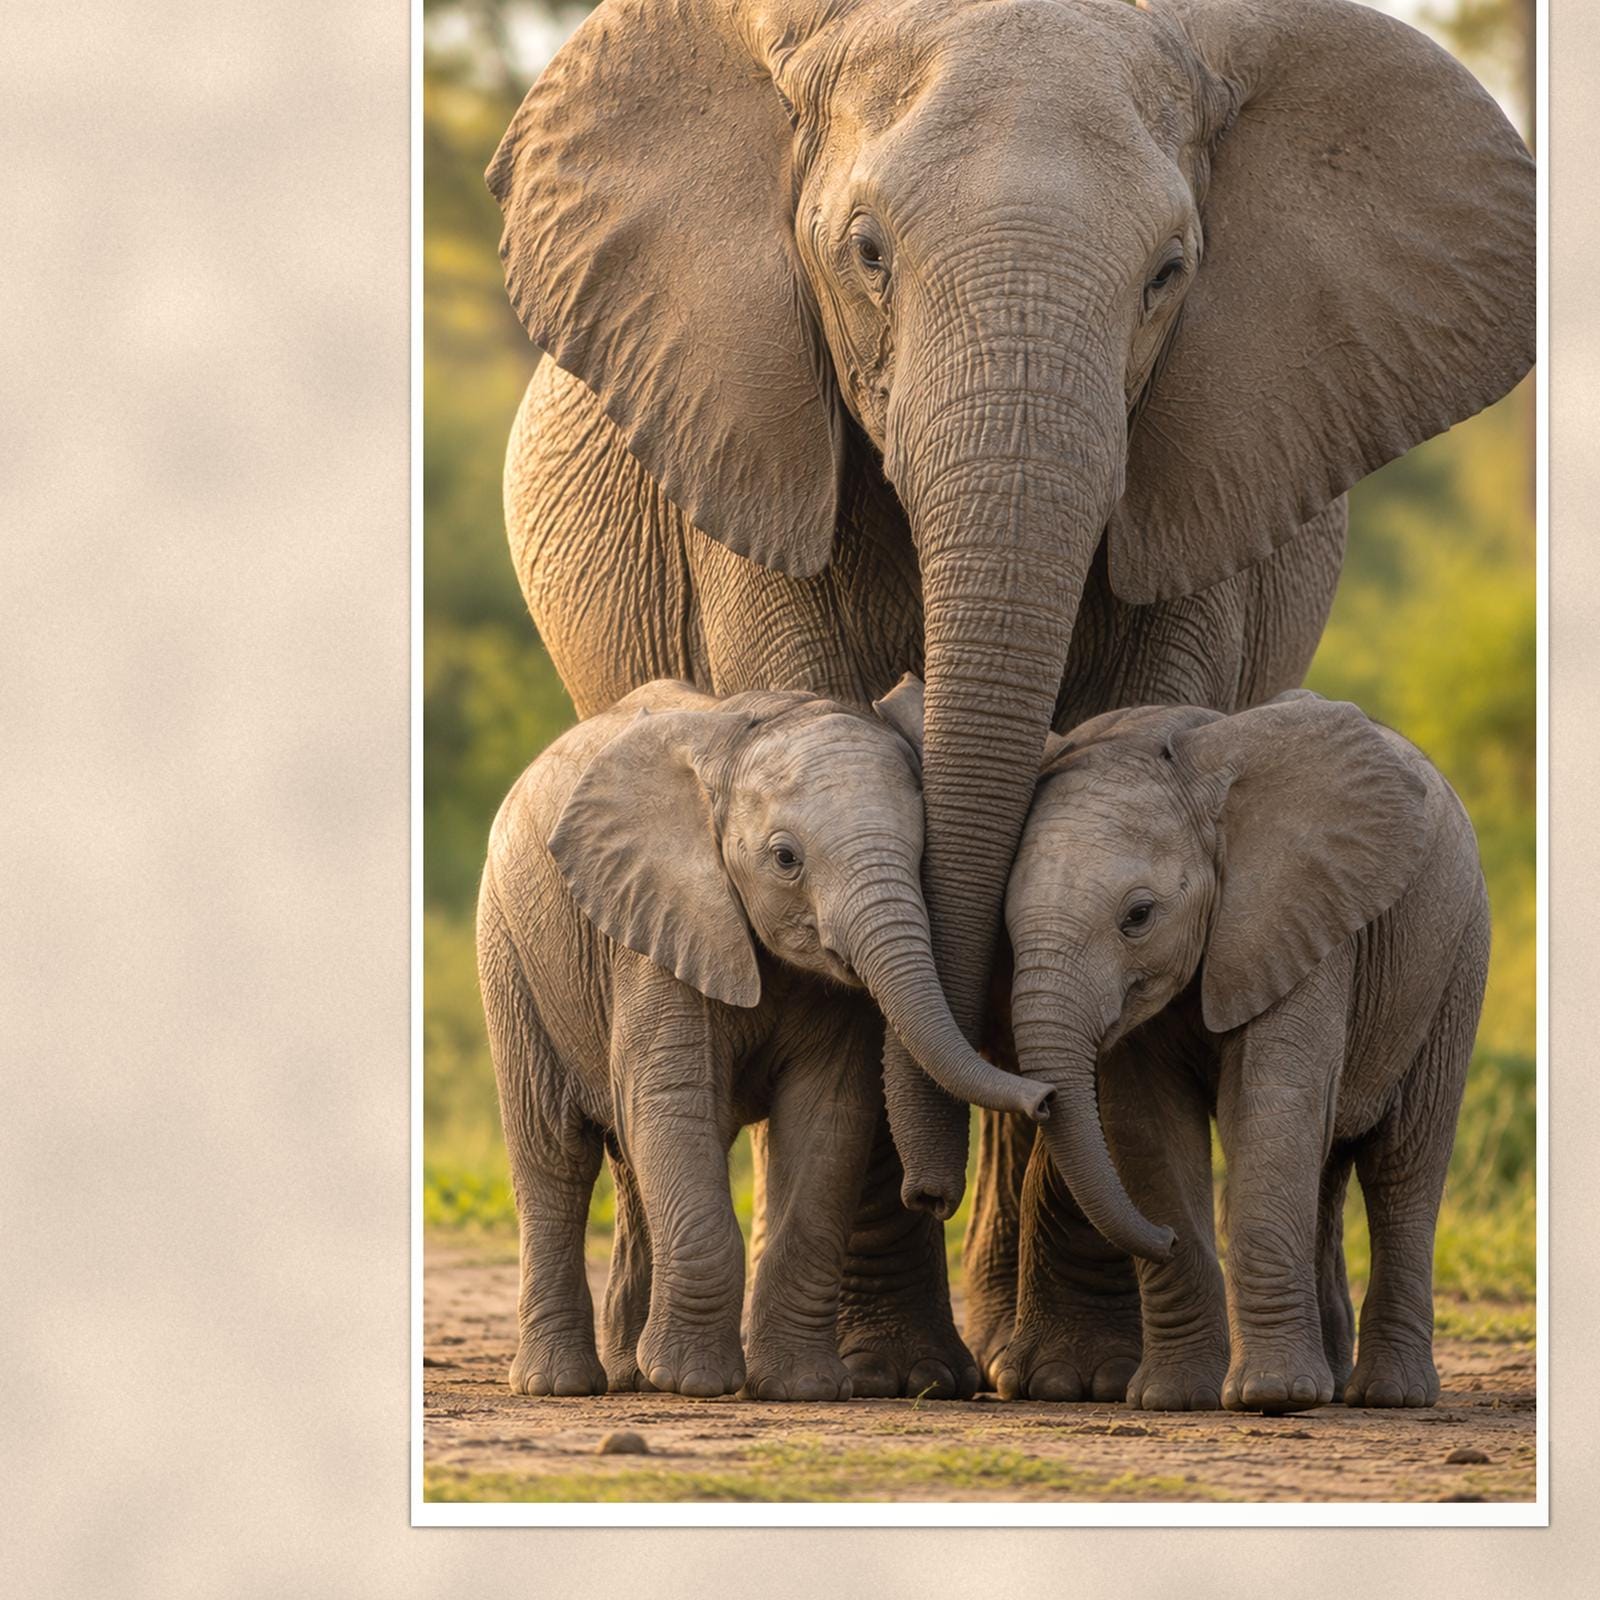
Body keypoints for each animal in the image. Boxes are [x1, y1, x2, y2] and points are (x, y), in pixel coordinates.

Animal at [476, 678, 1047, 1400]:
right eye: (785, 859)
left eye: (922, 856)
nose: (933, 1197)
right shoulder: (659, 927)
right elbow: (673, 1103)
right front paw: (693, 1382)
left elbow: (827, 1120)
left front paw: (803, 1389)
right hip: (510, 954)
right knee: (555, 1157)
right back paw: (561, 1385)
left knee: (631, 1168)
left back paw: (633, 1375)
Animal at [986, 690, 1488, 1412]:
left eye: (1138, 916)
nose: (1161, 1239)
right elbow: (1148, 1128)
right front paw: (1173, 1399)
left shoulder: (1302, 921)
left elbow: (1270, 1107)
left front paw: (1272, 1396)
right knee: (1327, 1169)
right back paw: (1333, 1381)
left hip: (1455, 959)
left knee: (1403, 1167)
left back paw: (1389, 1395)